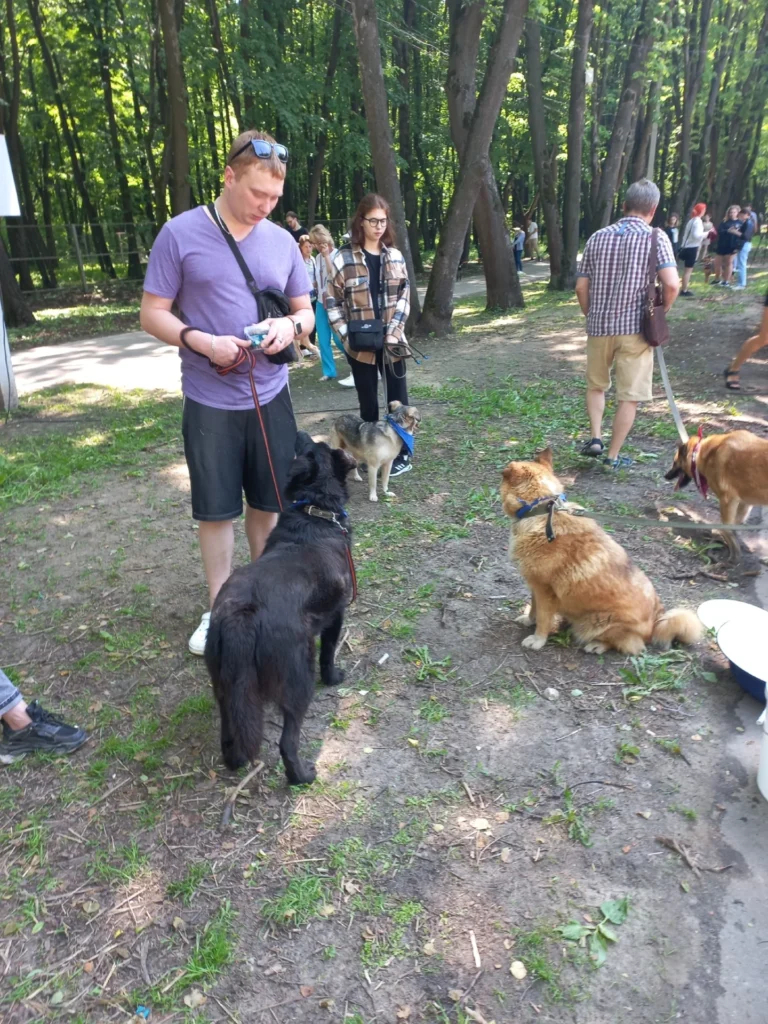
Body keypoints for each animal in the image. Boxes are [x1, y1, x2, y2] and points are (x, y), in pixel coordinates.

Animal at [202, 430, 356, 782]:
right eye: (315, 445)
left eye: (306, 445)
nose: (299, 432)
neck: (315, 511)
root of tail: (240, 617)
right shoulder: (336, 616)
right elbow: (329, 651)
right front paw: (334, 677)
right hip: (298, 678)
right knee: (288, 740)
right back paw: (301, 775)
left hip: (225, 687)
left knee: (229, 733)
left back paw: (235, 762)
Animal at [501, 450, 708, 655]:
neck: (542, 510)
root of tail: (655, 624)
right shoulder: (535, 586)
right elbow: (534, 608)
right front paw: (529, 620)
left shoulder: (545, 591)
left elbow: (543, 619)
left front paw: (538, 639)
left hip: (597, 623)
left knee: (626, 644)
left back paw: (597, 645)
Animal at [663, 430, 768, 565]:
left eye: (674, 462)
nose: (666, 476)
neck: (699, 453)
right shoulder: (744, 503)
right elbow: (734, 525)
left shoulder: (727, 501)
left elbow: (726, 528)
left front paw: (734, 554)